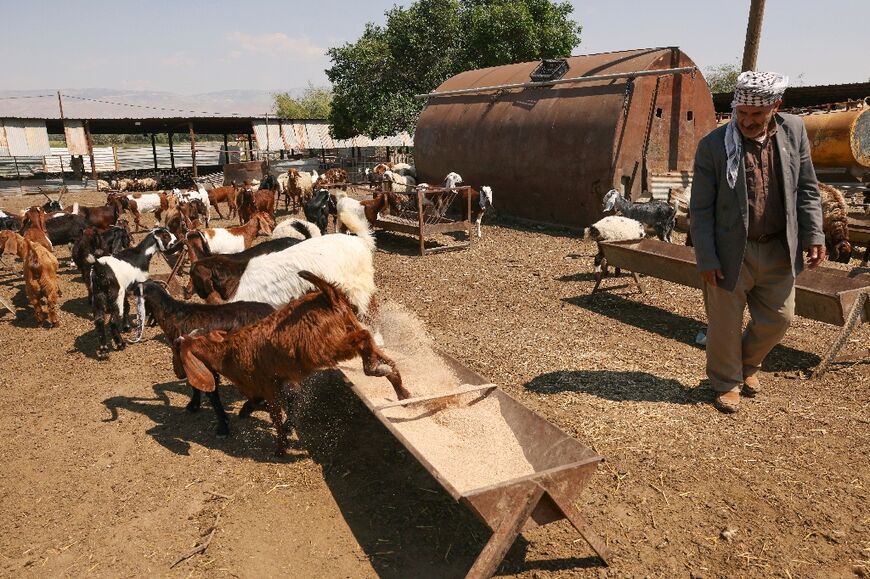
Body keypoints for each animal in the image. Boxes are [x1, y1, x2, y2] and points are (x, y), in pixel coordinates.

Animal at [178, 270, 412, 456]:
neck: (227, 353)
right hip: (347, 327)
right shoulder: (275, 384)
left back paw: (373, 369)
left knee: (364, 338)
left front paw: (281, 449)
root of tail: (329, 296)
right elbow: (262, 404)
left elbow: (274, 415)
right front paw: (248, 412)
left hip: (326, 347)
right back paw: (400, 389)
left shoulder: (268, 387)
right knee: (379, 349)